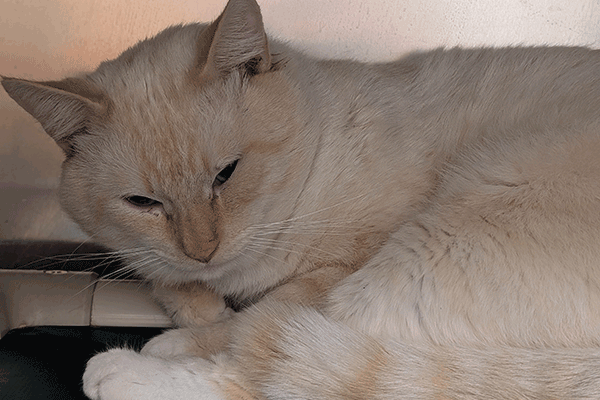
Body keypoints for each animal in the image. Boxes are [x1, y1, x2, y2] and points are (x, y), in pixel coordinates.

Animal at [3, 0, 600, 398]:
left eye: (226, 174)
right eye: (142, 202)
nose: (203, 250)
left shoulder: (337, 271)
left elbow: (253, 317)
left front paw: (185, 329)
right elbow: (170, 281)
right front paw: (191, 297)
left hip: (420, 256)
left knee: (267, 364)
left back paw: (124, 368)